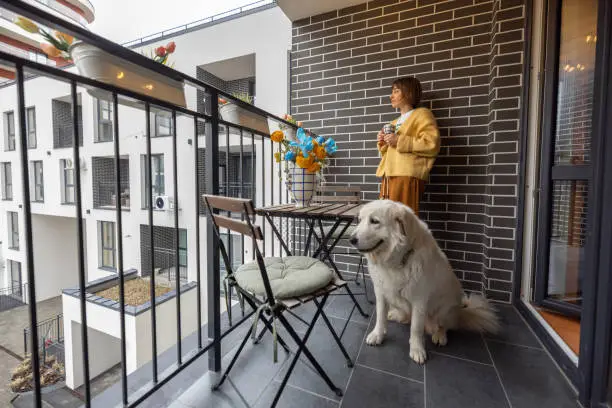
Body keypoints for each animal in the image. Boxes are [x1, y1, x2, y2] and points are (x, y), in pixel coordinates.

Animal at [352, 200, 500, 364]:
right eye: (360, 220)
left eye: (374, 221)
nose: (351, 240)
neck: (398, 260)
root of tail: (461, 312)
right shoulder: (381, 292)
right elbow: (380, 316)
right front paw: (377, 335)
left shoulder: (419, 300)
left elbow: (416, 328)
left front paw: (417, 349)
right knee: (406, 317)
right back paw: (396, 315)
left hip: (446, 309)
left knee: (443, 326)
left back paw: (440, 336)